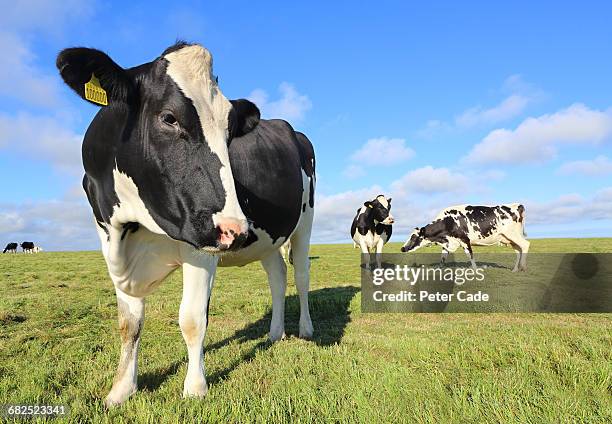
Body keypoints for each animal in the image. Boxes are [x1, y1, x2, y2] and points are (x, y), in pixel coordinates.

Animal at [56, 41, 316, 406]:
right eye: (170, 118)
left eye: (228, 131)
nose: (236, 230)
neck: (133, 224)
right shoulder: (109, 236)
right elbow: (129, 322)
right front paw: (121, 389)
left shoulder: (201, 241)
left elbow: (192, 319)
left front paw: (195, 388)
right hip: (268, 237)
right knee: (277, 277)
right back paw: (275, 333)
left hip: (304, 220)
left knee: (302, 274)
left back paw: (305, 329)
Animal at [400, 205, 528, 272]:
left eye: (413, 237)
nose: (402, 248)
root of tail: (517, 205)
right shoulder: (447, 242)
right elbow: (443, 257)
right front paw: (439, 269)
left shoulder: (465, 240)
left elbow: (470, 255)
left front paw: (475, 270)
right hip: (510, 239)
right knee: (518, 251)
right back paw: (515, 269)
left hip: (513, 235)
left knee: (525, 245)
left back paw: (523, 267)